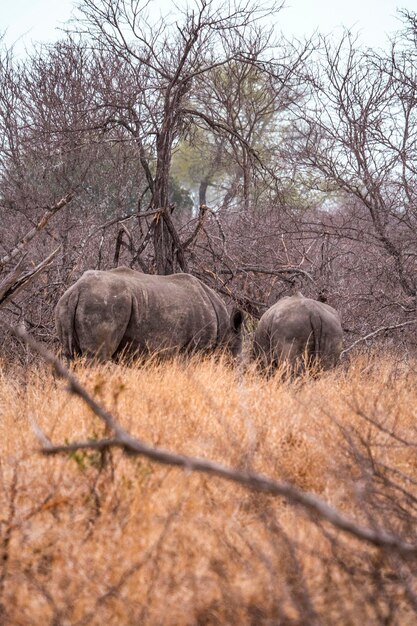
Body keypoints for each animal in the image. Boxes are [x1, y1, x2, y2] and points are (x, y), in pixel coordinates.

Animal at [56, 266, 244, 358]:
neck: (225, 327)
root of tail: (77, 290)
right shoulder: (196, 349)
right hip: (102, 303)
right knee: (97, 358)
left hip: (64, 304)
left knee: (70, 356)